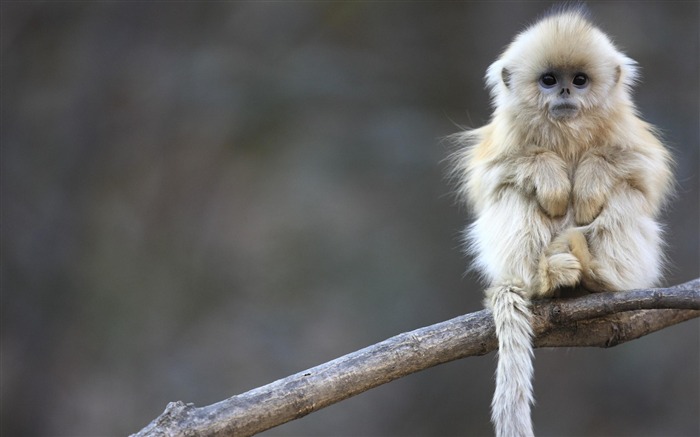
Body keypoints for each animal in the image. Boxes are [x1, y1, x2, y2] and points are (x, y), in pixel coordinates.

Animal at [452, 6, 676, 436]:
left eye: (580, 80)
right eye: (549, 80)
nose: (566, 93)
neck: (567, 131)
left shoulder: (627, 130)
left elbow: (642, 170)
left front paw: (588, 181)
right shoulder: (504, 138)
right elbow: (492, 176)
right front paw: (552, 178)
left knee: (624, 194)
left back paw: (598, 276)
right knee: (513, 193)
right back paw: (544, 278)